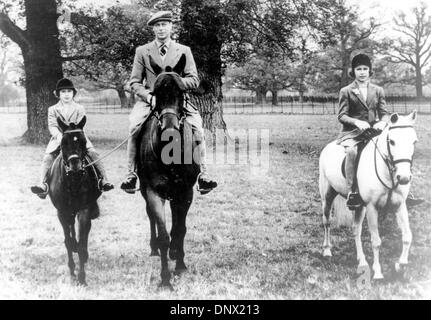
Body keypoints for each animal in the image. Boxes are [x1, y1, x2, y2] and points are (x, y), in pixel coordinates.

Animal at [47, 116, 101, 286]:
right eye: (63, 142)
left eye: (83, 141)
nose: (75, 167)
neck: (73, 181)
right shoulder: (62, 212)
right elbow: (68, 242)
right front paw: (72, 270)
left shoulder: (84, 210)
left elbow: (82, 244)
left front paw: (82, 278)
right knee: (71, 232)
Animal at [138, 53, 202, 288]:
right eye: (155, 94)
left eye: (181, 92)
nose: (170, 132)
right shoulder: (154, 192)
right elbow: (164, 234)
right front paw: (165, 279)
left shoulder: (185, 192)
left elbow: (180, 230)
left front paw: (180, 265)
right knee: (151, 218)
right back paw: (154, 249)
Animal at [320, 111, 418, 278]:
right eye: (392, 141)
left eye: (414, 142)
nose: (404, 178)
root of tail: (329, 146)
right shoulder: (372, 208)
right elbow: (376, 241)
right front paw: (378, 272)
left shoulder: (400, 205)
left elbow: (407, 236)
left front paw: (401, 264)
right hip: (327, 196)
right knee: (327, 221)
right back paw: (327, 251)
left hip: (360, 206)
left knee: (356, 229)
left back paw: (362, 261)